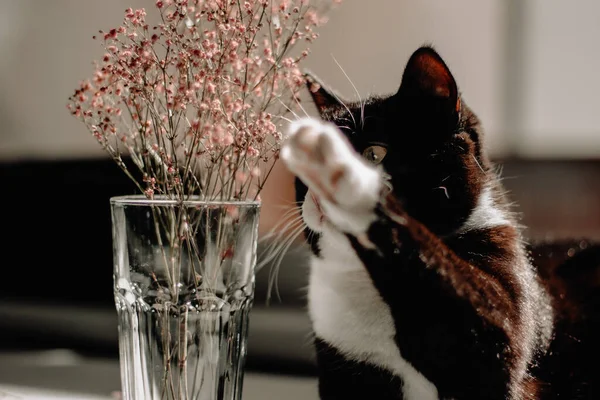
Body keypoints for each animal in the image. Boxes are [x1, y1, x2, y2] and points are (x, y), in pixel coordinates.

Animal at [278, 47, 600, 400]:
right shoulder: (346, 370)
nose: (315, 195)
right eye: (300, 178)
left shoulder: (497, 336)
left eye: (374, 153)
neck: (366, 280)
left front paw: (342, 172)